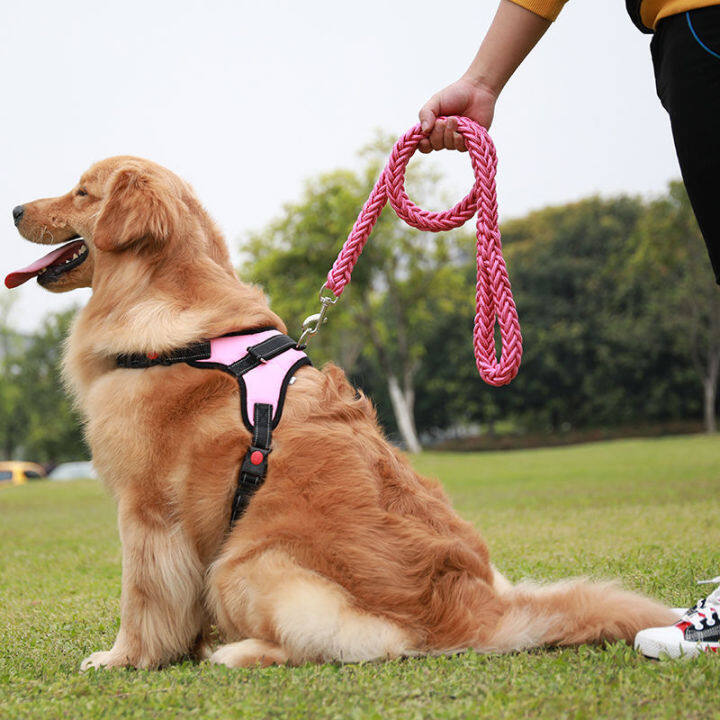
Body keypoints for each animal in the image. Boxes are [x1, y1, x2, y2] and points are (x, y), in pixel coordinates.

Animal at [9, 156, 676, 668]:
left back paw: (239, 652)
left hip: (244, 561)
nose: (14, 209)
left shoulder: (147, 510)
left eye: (82, 192)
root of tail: (477, 613)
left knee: (351, 646)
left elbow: (142, 600)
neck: (173, 322)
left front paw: (125, 659)